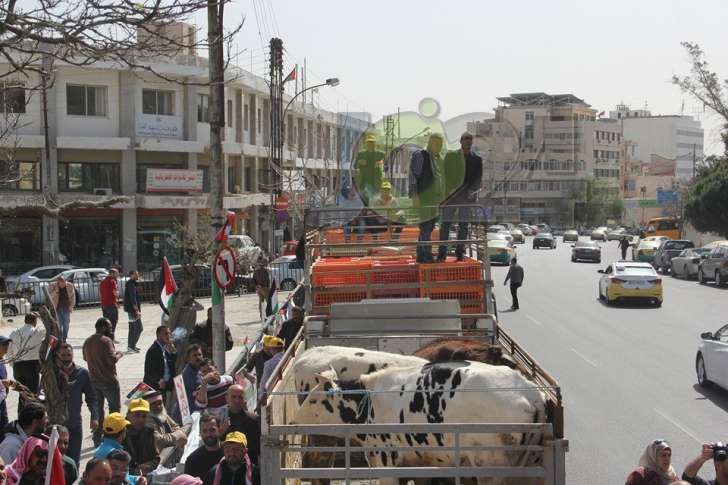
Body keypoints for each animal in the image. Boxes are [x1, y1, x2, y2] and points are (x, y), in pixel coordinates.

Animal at [292, 360, 544, 484]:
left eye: (313, 400)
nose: (294, 423)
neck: (368, 399)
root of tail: (530, 392)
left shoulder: (385, 460)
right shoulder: (418, 463)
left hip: (490, 467)